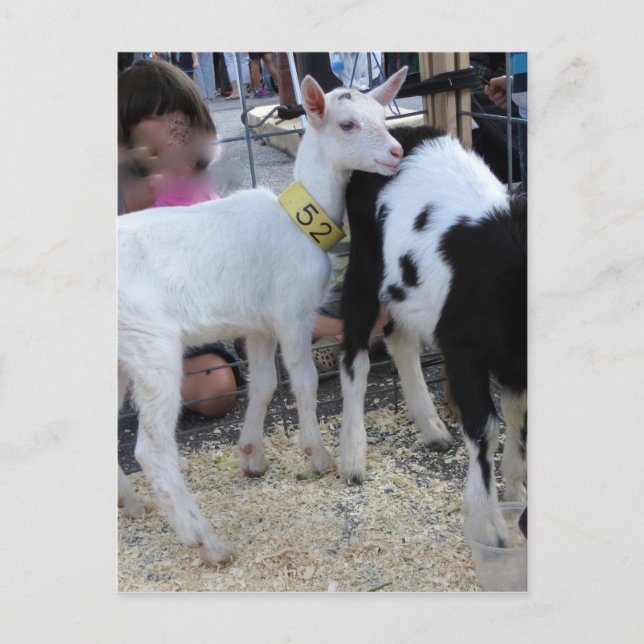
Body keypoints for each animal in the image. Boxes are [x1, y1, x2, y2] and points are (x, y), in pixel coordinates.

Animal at [117, 68, 408, 565]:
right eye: (347, 123)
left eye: (381, 113)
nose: (395, 152)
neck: (297, 221)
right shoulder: (291, 312)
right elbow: (304, 380)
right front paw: (318, 456)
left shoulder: (257, 324)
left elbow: (265, 384)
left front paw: (251, 455)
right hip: (150, 346)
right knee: (151, 449)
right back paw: (206, 540)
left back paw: (133, 504)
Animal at [339, 125, 527, 546]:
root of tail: (401, 133)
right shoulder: (463, 349)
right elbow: (486, 426)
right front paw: (491, 528)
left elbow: (517, 416)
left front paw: (517, 491)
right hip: (363, 267)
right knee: (355, 355)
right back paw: (353, 457)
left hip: (406, 289)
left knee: (400, 339)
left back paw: (432, 429)